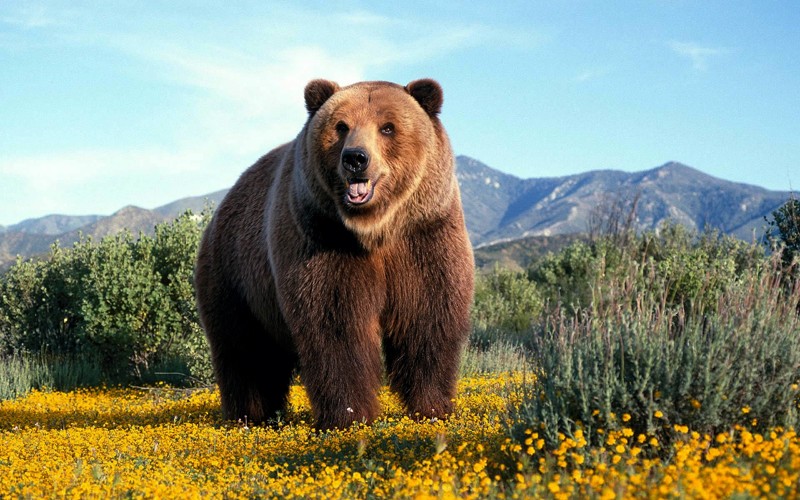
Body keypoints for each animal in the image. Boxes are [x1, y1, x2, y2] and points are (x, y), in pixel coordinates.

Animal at [195, 79, 476, 430]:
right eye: (341, 126)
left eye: (388, 127)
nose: (356, 158)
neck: (375, 229)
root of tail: (221, 207)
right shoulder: (323, 238)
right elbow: (336, 325)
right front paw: (349, 415)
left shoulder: (424, 236)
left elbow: (427, 317)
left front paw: (433, 407)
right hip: (235, 277)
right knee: (245, 351)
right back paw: (249, 415)